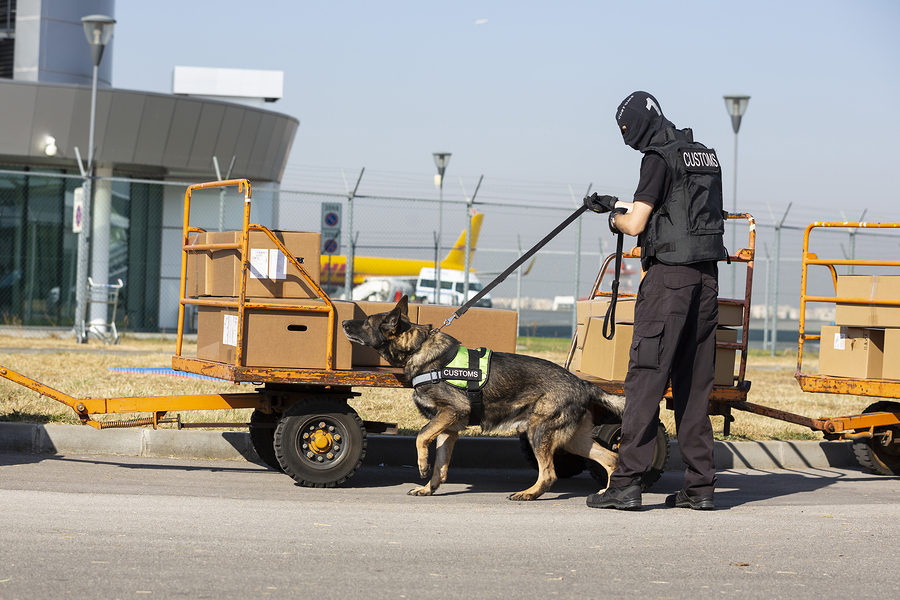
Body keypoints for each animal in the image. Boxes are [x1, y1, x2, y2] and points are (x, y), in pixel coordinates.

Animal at [342, 296, 624, 502]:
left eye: (366, 322)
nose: (344, 321)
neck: (418, 348)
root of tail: (582, 383)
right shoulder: (448, 429)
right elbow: (440, 466)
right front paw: (428, 488)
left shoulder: (451, 412)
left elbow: (421, 436)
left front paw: (421, 466)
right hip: (573, 440)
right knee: (611, 459)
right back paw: (607, 492)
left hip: (539, 432)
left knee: (549, 474)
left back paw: (528, 494)